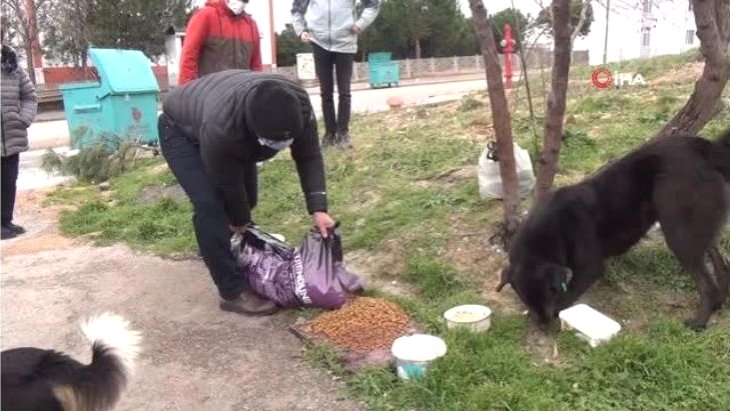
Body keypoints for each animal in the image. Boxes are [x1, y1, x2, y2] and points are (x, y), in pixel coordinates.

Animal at [498, 129, 728, 332]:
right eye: (526, 299)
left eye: (549, 293)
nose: (543, 326)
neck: (550, 230)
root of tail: (708, 149)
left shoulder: (589, 268)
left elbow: (567, 296)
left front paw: (558, 313)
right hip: (696, 228)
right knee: (721, 262)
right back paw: (719, 302)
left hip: (678, 233)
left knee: (706, 283)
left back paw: (700, 321)